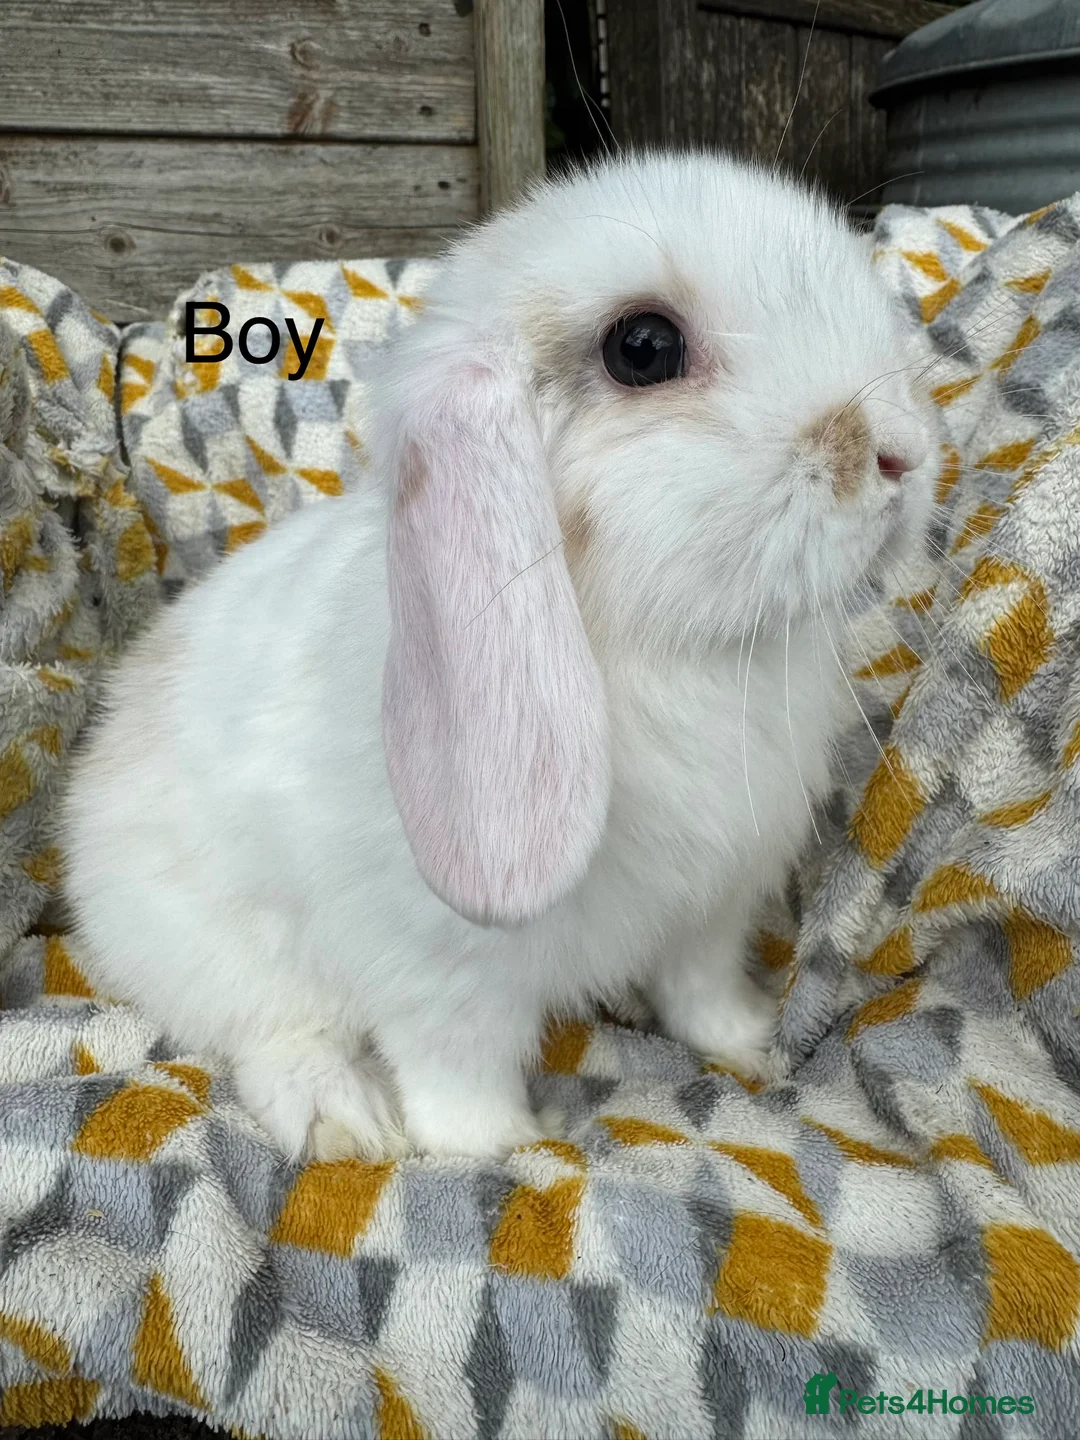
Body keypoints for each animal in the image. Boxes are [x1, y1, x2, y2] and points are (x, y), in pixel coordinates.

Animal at [62, 152, 935, 1163]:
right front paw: (505, 1152)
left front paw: (755, 1047)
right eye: (644, 348)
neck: (668, 653)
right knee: (270, 1030)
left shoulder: (710, 908)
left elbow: (702, 992)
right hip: (225, 948)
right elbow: (458, 1074)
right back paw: (345, 1122)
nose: (903, 453)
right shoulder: (442, 973)